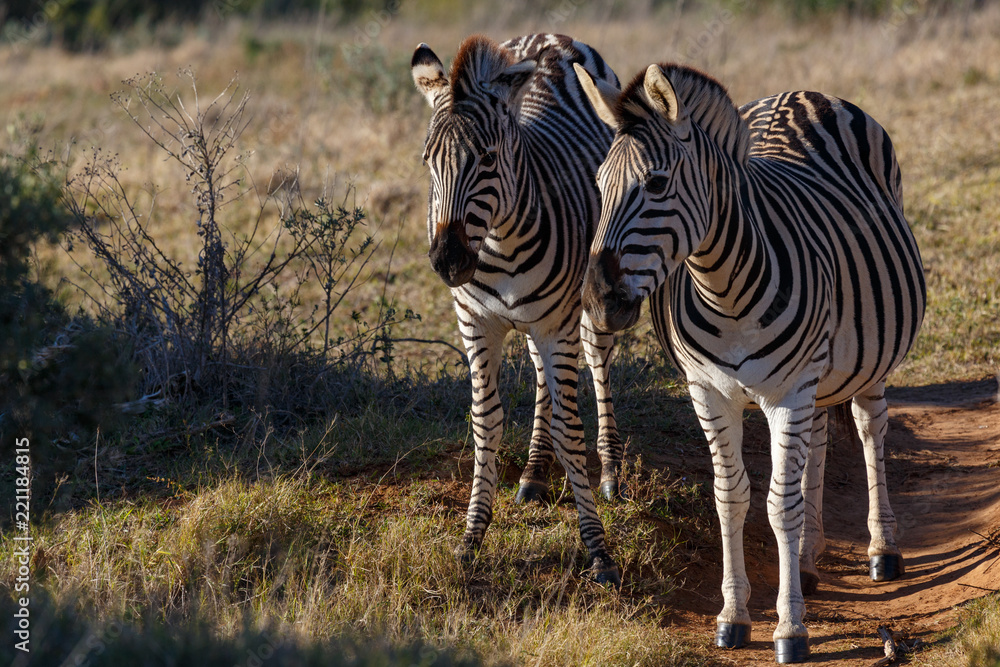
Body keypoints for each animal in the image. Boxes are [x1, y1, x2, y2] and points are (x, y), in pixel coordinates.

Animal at [411, 34, 624, 586]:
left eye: (486, 158)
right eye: (427, 162)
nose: (447, 260)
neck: (499, 245)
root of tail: (551, 38)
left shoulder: (558, 325)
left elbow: (572, 429)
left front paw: (599, 550)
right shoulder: (476, 323)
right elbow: (486, 420)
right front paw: (472, 537)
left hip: (582, 304)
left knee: (597, 361)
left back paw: (611, 469)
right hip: (536, 323)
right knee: (542, 377)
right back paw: (532, 472)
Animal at [575, 62, 925, 662]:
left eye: (657, 185)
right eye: (597, 187)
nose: (599, 302)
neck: (723, 288)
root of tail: (802, 92)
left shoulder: (789, 391)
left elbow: (779, 505)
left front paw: (790, 630)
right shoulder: (708, 391)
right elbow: (730, 498)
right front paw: (734, 617)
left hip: (862, 362)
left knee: (869, 428)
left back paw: (882, 550)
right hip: (817, 377)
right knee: (820, 446)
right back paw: (807, 563)